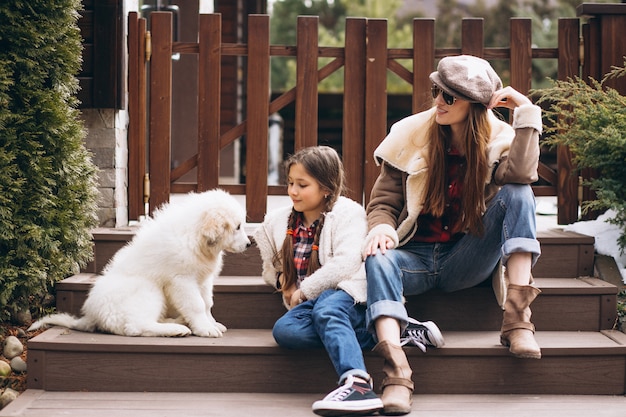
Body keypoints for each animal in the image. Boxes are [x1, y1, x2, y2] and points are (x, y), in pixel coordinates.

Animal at [28, 188, 249, 334]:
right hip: (148, 290)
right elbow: (196, 305)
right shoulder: (182, 280)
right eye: (237, 227)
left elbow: (207, 303)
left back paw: (177, 320)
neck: (195, 237)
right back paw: (175, 329)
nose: (248, 244)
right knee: (136, 326)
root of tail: (91, 316)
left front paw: (212, 323)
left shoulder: (203, 279)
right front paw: (205, 329)